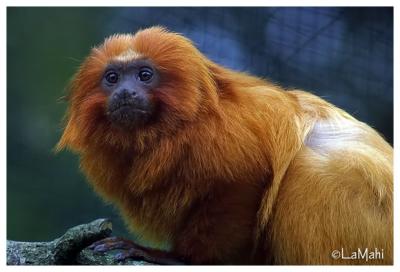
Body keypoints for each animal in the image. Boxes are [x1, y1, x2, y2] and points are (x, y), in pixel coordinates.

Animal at [57, 26, 394, 264]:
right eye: (112, 78)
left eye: (144, 75)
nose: (125, 92)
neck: (174, 128)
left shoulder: (229, 138)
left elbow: (244, 184)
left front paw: (176, 258)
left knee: (308, 168)